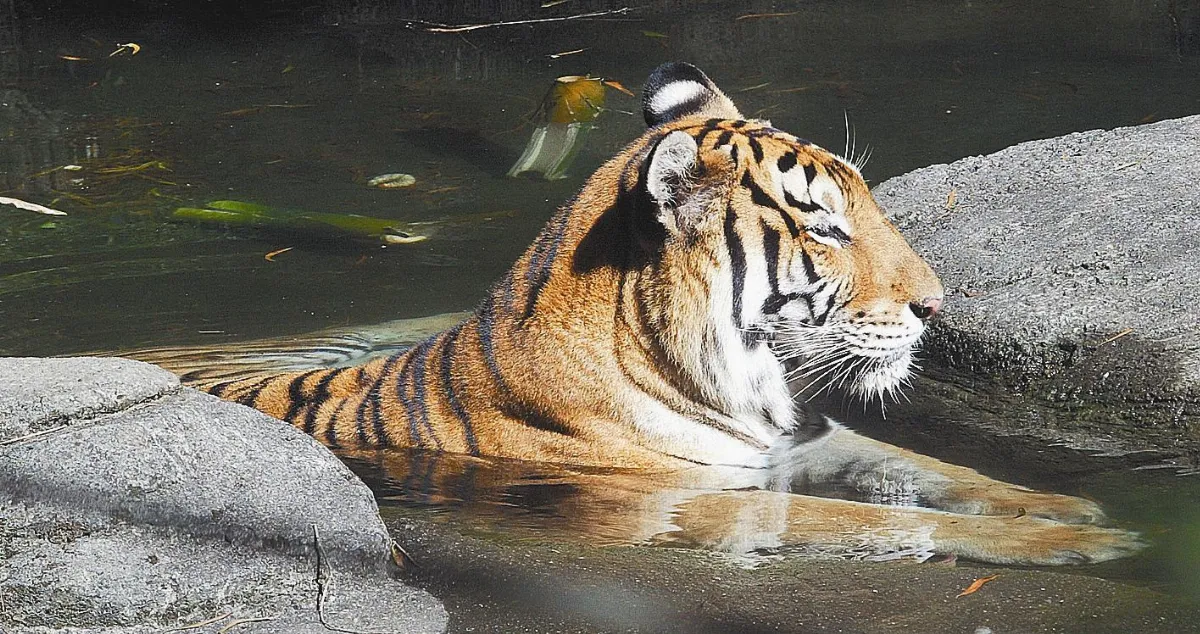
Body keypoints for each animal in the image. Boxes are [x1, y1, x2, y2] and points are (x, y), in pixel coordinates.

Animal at [146, 62, 1141, 566]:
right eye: (826, 226)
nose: (936, 305)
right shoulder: (699, 499)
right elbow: (879, 523)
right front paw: (1081, 541)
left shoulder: (804, 443)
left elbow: (941, 471)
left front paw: (1067, 508)